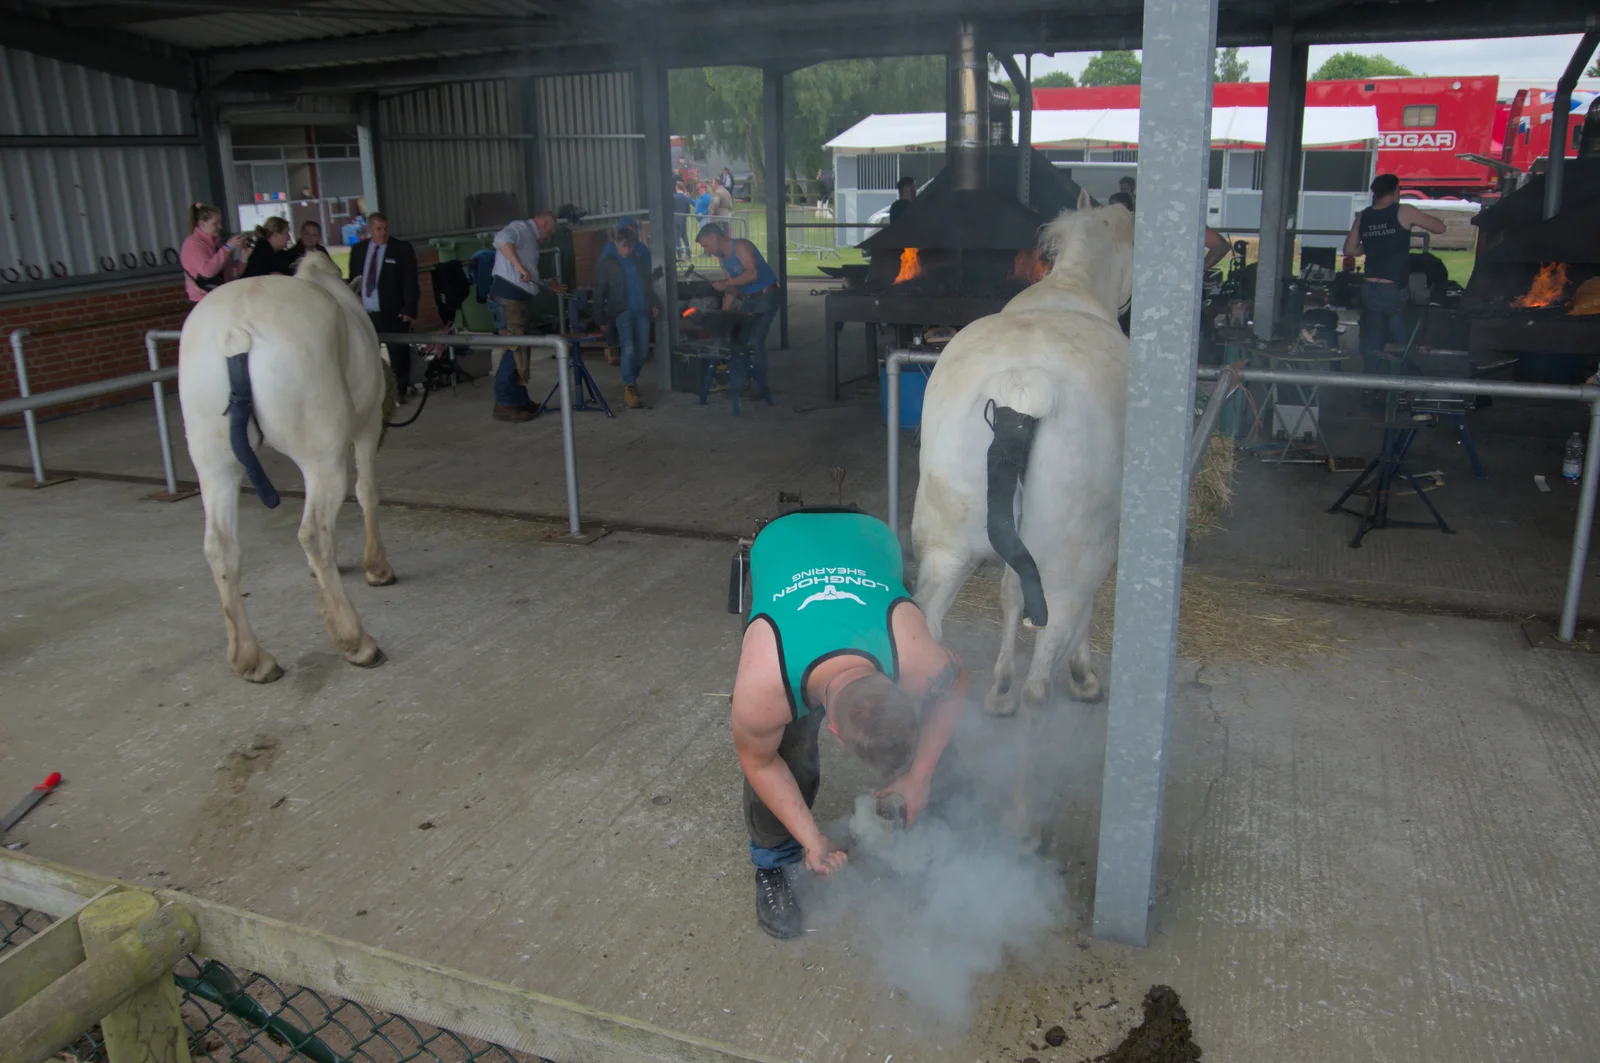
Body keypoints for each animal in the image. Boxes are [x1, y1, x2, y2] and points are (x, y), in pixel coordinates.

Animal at [179, 251, 393, 681]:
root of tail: (236, 333)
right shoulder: (366, 428)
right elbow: (366, 493)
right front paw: (376, 567)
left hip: (216, 467)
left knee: (220, 547)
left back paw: (252, 659)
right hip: (322, 458)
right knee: (314, 533)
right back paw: (357, 642)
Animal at [915, 195, 1139, 717]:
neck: (1072, 283)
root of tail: (1020, 386)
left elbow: (1012, 594)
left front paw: (1000, 683)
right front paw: (1082, 675)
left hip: (948, 540)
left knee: (927, 616)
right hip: (1074, 552)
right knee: (1047, 656)